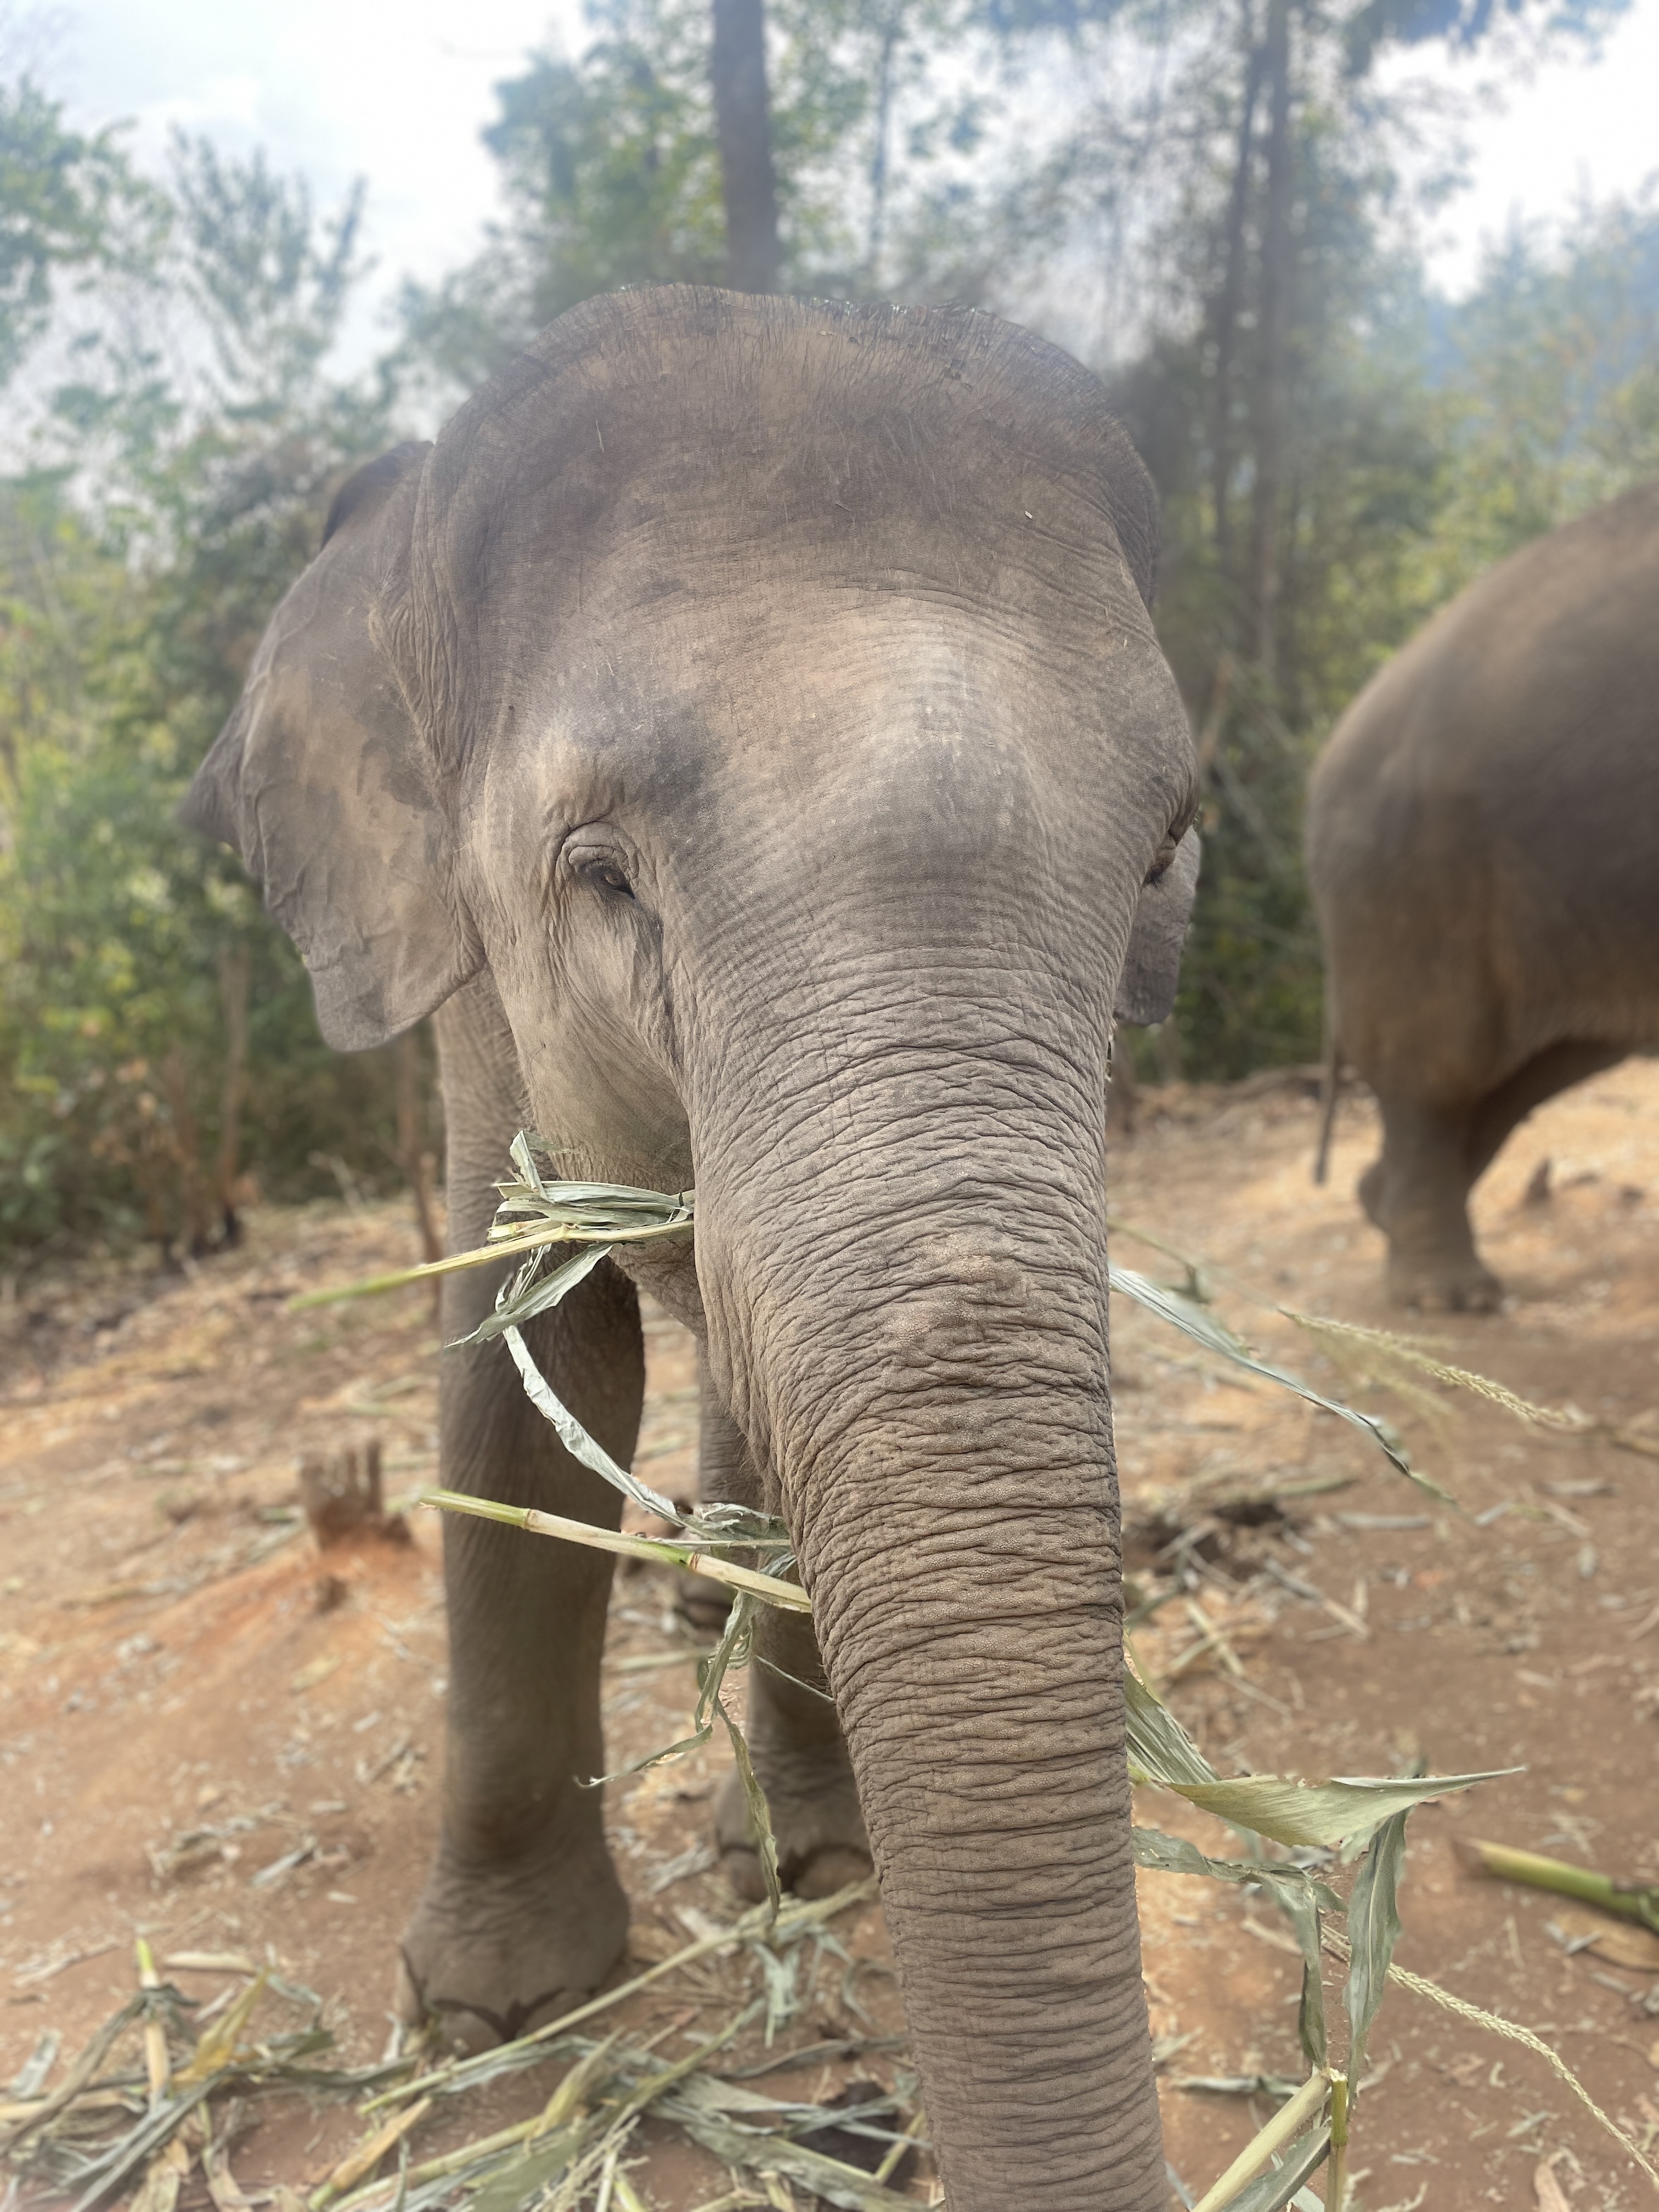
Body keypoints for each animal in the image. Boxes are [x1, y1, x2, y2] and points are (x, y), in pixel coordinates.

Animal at [186, 286, 1200, 2212]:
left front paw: (807, 1872)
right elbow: (533, 1368)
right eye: (599, 873)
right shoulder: (475, 1002)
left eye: (1172, 854)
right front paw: (498, 2012)